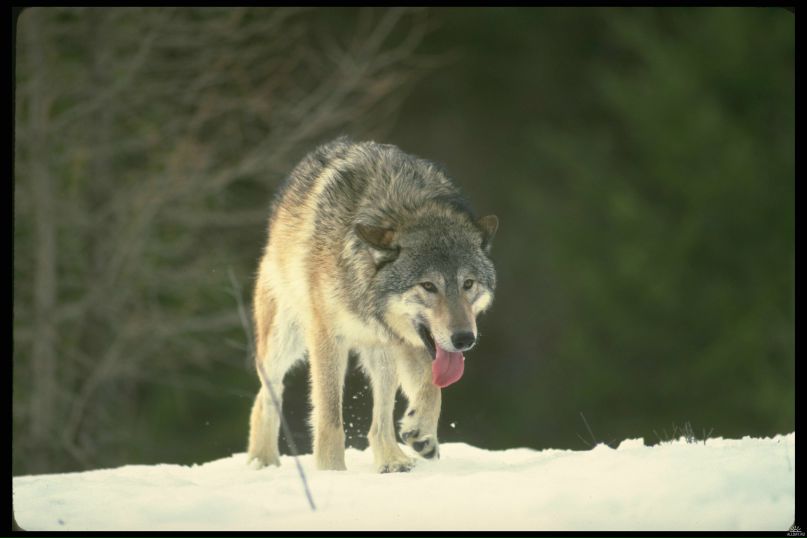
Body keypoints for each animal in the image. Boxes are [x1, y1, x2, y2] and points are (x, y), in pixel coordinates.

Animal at [246, 137, 498, 473]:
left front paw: (421, 432)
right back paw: (262, 460)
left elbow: (432, 388)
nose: (464, 339)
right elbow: (329, 417)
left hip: (382, 352)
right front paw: (331, 472)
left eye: (468, 284)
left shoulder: (406, 342)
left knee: (381, 420)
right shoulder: (327, 338)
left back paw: (392, 460)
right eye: (428, 286)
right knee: (267, 394)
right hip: (284, 340)